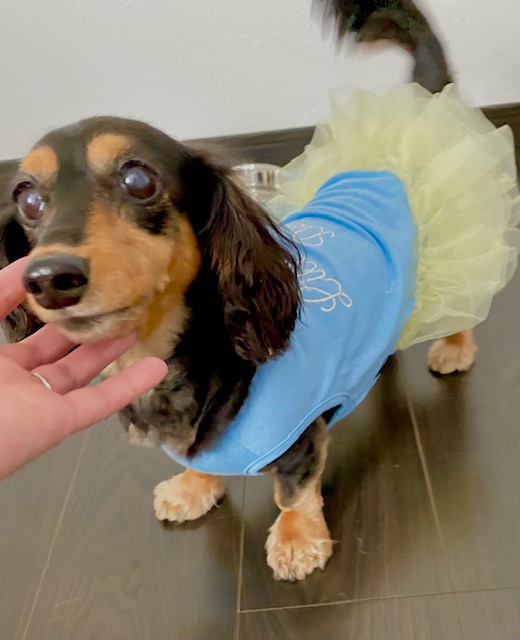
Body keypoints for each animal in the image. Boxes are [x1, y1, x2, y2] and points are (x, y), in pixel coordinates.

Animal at [0, 1, 489, 581]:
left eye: (138, 180)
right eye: (28, 199)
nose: (49, 277)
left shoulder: (300, 437)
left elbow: (291, 491)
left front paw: (298, 540)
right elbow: (201, 463)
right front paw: (192, 489)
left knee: (462, 309)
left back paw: (454, 348)